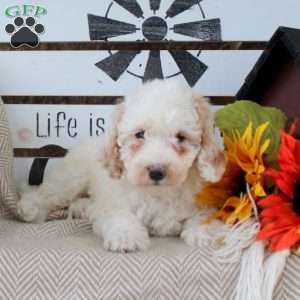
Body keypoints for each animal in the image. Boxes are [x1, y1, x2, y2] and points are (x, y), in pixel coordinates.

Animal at [17, 78, 225, 252]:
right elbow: (119, 215)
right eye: (140, 134)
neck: (159, 192)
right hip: (72, 178)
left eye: (181, 137)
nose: (156, 171)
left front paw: (205, 235)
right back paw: (29, 208)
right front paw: (127, 237)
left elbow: (204, 215)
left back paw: (81, 208)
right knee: (46, 193)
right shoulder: (114, 202)